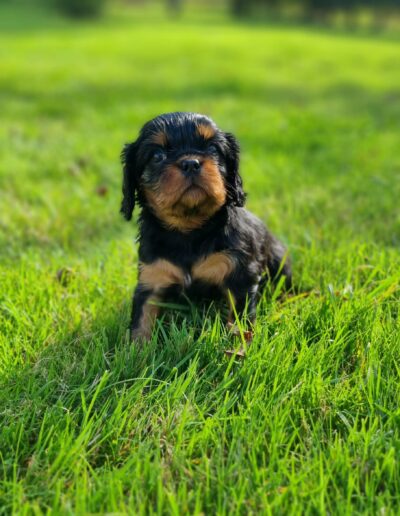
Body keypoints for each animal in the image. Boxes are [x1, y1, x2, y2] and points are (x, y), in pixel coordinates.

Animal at [119, 112, 290, 342]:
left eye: (212, 149)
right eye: (157, 156)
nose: (190, 163)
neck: (189, 230)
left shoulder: (240, 274)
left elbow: (240, 319)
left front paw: (238, 346)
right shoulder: (151, 277)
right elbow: (142, 318)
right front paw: (136, 349)